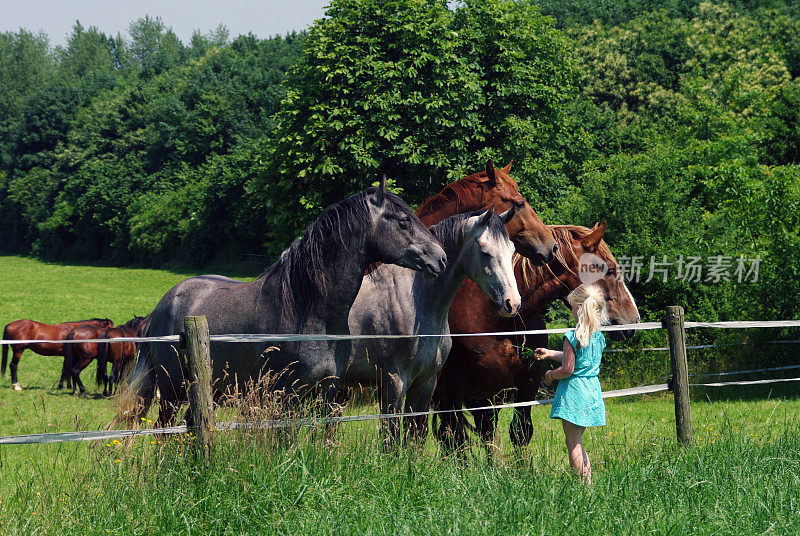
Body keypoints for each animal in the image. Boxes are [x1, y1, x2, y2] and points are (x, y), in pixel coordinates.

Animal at [125, 178, 450, 430]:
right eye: (404, 221)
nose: (441, 258)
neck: (310, 310)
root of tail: (162, 306)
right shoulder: (285, 394)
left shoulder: (327, 390)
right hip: (172, 390)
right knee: (165, 430)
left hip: (206, 390)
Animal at [342, 209, 520, 448]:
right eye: (485, 252)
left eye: (512, 250)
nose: (513, 303)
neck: (414, 301)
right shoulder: (394, 382)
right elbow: (391, 438)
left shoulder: (425, 382)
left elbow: (413, 434)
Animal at [434, 224, 640, 454]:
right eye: (611, 270)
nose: (634, 319)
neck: (496, 318)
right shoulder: (453, 388)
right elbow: (457, 440)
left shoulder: (526, 382)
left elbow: (520, 432)